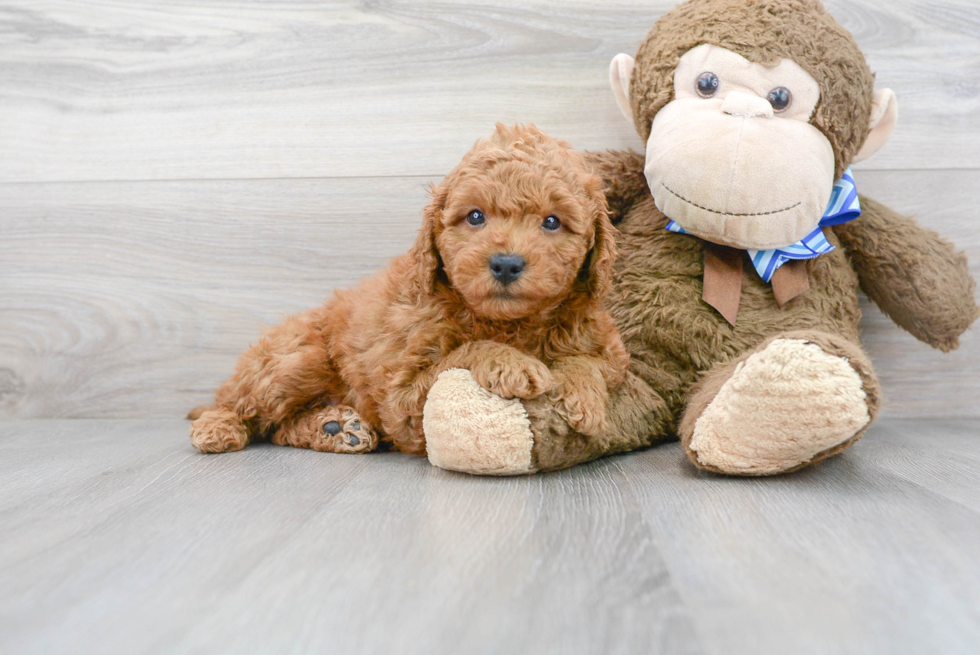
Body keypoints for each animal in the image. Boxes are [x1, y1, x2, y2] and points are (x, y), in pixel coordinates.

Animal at [189, 127, 628, 456]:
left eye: (552, 222)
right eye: (475, 216)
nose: (505, 263)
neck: (510, 323)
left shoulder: (609, 347)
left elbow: (591, 361)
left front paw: (582, 395)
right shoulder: (402, 398)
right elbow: (464, 352)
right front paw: (511, 363)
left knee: (279, 430)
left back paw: (336, 428)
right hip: (297, 360)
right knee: (241, 406)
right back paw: (218, 428)